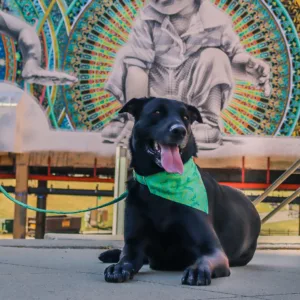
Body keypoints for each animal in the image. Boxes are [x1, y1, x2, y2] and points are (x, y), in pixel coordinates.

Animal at [100, 98, 260, 286]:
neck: (161, 183)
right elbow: (126, 258)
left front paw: (197, 270)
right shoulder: (134, 245)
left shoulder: (213, 249)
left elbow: (204, 259)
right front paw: (118, 267)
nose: (179, 131)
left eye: (185, 118)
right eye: (157, 112)